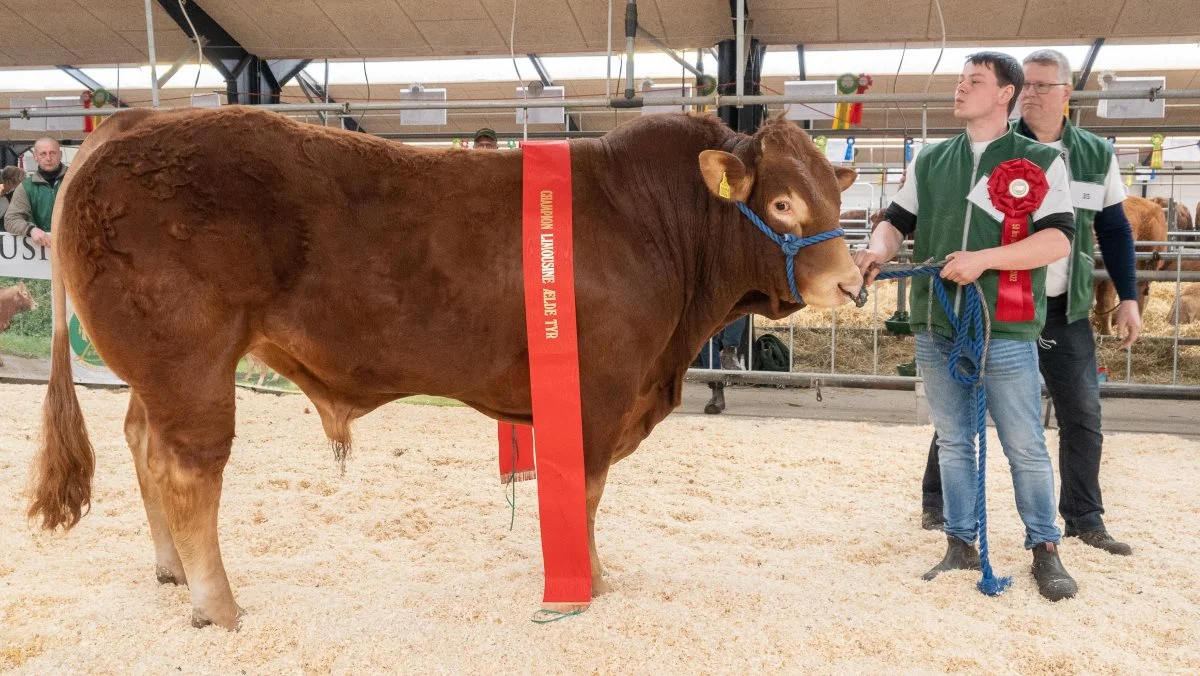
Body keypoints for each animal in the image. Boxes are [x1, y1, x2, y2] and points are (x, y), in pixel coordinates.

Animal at [25, 105, 864, 629]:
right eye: (783, 204)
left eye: (833, 194)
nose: (853, 283)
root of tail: (134, 125)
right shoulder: (600, 389)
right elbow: (585, 491)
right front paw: (584, 584)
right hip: (191, 362)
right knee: (190, 469)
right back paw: (218, 604)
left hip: (160, 372)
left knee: (142, 443)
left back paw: (170, 571)